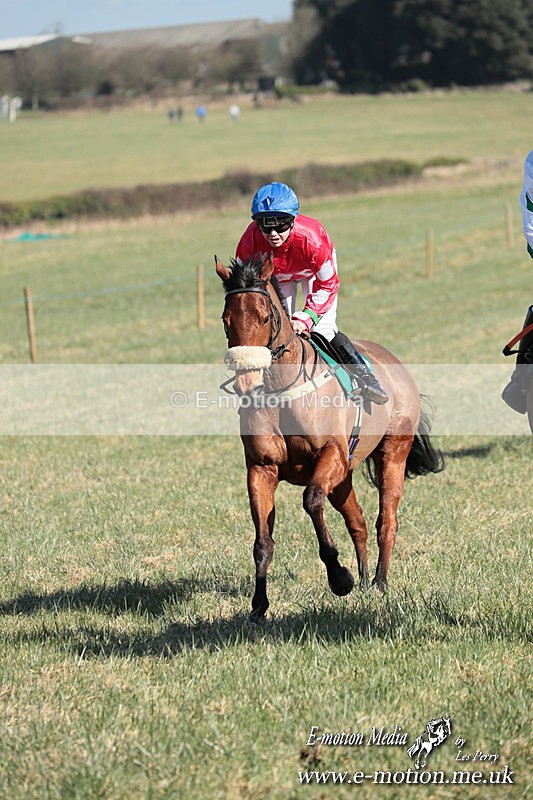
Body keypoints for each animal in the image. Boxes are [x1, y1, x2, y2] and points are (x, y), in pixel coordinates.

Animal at [215, 254, 444, 619]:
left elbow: (311, 500)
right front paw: (258, 605)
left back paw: (379, 581)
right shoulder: (262, 469)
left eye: (264, 316)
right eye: (226, 321)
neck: (282, 390)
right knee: (358, 521)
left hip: (392, 453)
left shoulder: (329, 456)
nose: (247, 384)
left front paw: (339, 578)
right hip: (344, 476)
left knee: (386, 520)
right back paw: (364, 579)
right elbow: (263, 541)